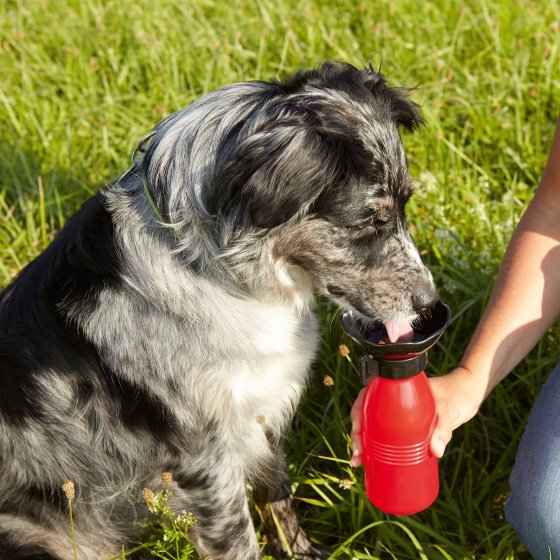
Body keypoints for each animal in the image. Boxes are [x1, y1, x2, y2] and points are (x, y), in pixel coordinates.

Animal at [0, 62, 438, 560]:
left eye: (404, 205)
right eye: (371, 219)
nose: (429, 302)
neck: (217, 269)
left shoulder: (262, 413)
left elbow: (278, 495)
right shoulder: (204, 464)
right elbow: (239, 541)